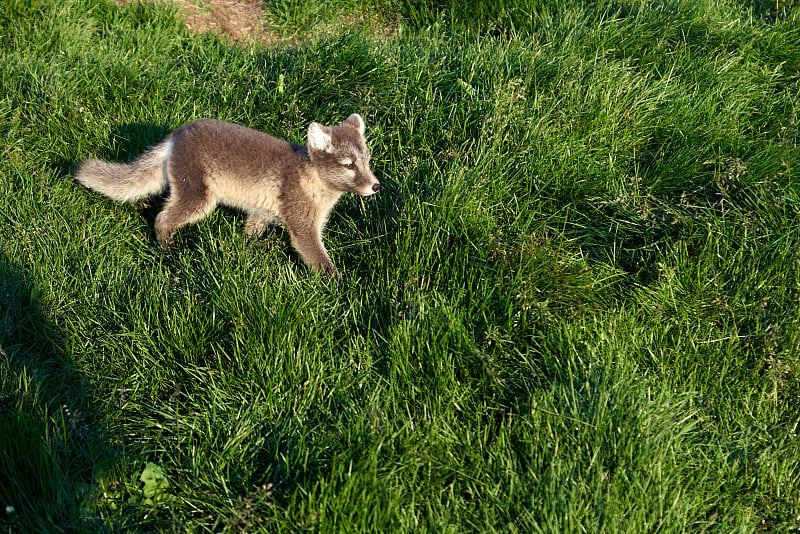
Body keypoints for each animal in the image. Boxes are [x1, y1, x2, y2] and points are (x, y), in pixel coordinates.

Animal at [75, 114, 382, 278]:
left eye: (367, 160)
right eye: (348, 165)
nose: (376, 186)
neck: (313, 179)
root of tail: (176, 135)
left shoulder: (261, 211)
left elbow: (251, 233)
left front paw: (248, 252)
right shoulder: (303, 226)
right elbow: (319, 259)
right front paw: (339, 287)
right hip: (198, 197)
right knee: (162, 218)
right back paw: (168, 249)